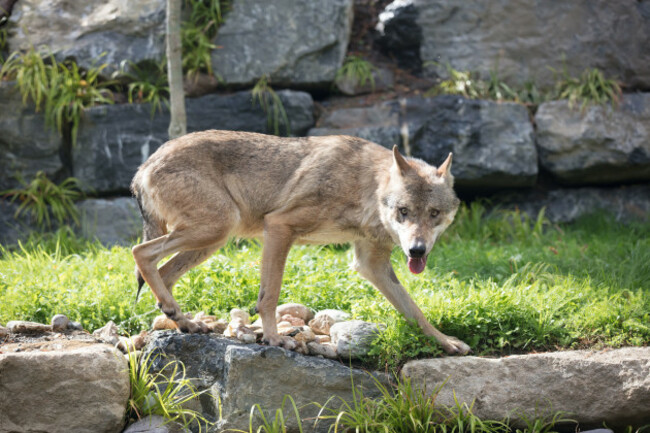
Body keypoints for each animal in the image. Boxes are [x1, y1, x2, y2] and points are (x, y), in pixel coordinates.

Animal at [129, 130, 468, 352]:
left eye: (434, 213)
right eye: (404, 211)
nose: (416, 250)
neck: (364, 189)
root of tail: (144, 165)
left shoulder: (371, 264)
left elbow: (414, 310)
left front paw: (445, 342)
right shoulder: (279, 227)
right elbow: (268, 297)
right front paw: (274, 339)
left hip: (211, 241)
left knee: (164, 274)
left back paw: (184, 323)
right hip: (217, 229)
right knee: (141, 252)